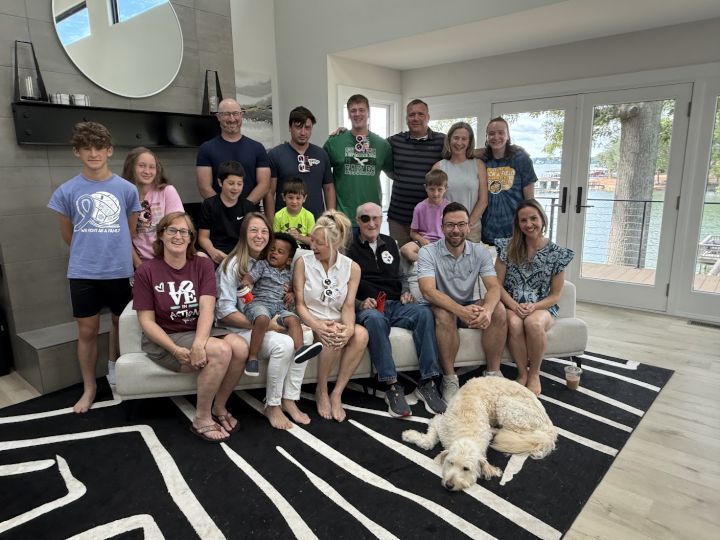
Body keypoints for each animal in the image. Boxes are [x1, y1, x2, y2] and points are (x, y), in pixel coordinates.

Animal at [402, 376, 557, 491]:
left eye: (466, 469)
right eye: (450, 463)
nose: (449, 485)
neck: (467, 431)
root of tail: (549, 428)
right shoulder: (439, 422)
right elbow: (428, 441)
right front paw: (409, 435)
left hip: (509, 409)